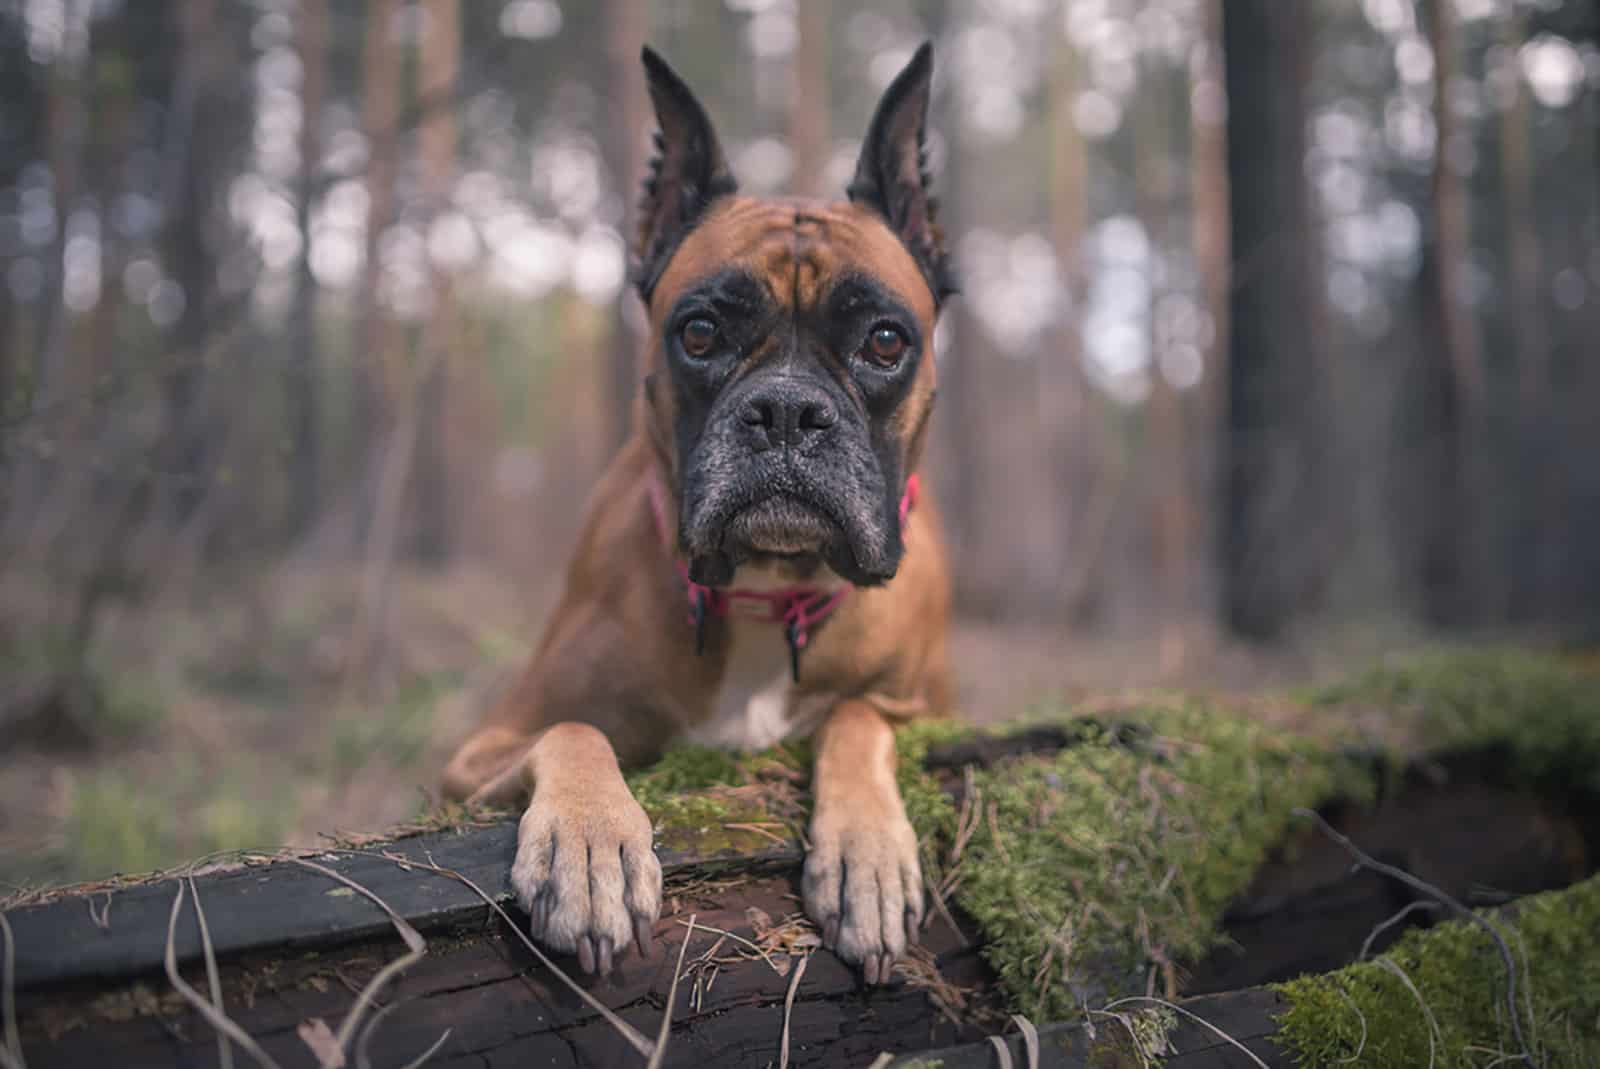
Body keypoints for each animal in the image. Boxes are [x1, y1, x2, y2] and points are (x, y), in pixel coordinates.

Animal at [441, 43, 947, 985]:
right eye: (701, 332)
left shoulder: (928, 706)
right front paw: (589, 843)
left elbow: (857, 716)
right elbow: (571, 726)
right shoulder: (479, 751)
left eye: (886, 341)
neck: (764, 591)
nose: (786, 411)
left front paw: (867, 853)